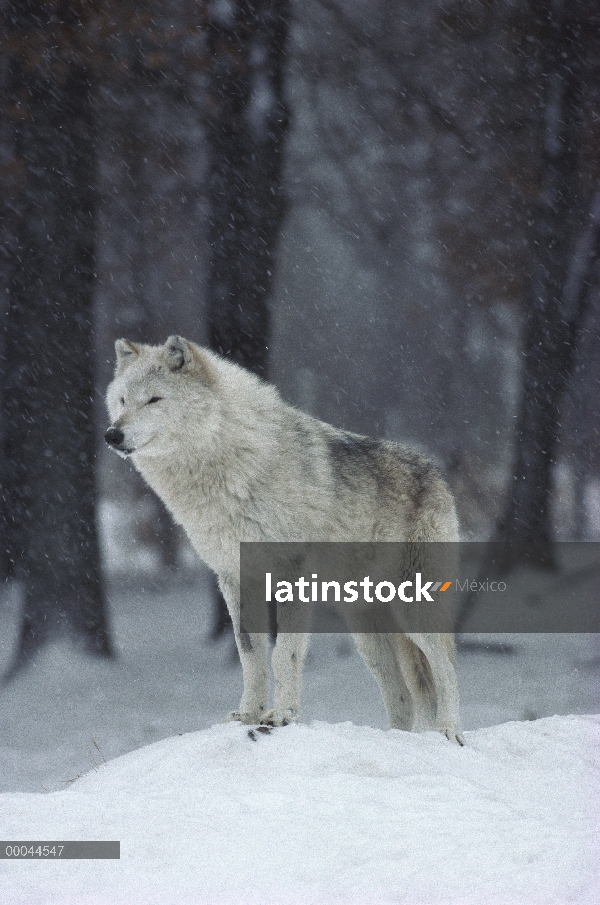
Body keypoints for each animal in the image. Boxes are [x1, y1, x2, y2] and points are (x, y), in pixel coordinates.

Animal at [106, 336, 464, 744]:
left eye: (154, 400)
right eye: (121, 400)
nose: (112, 434)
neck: (230, 466)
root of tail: (435, 472)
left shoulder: (292, 574)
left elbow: (284, 654)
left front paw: (282, 715)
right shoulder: (235, 579)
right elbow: (251, 656)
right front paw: (248, 713)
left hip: (412, 613)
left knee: (448, 669)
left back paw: (448, 731)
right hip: (367, 634)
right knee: (404, 698)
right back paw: (396, 739)